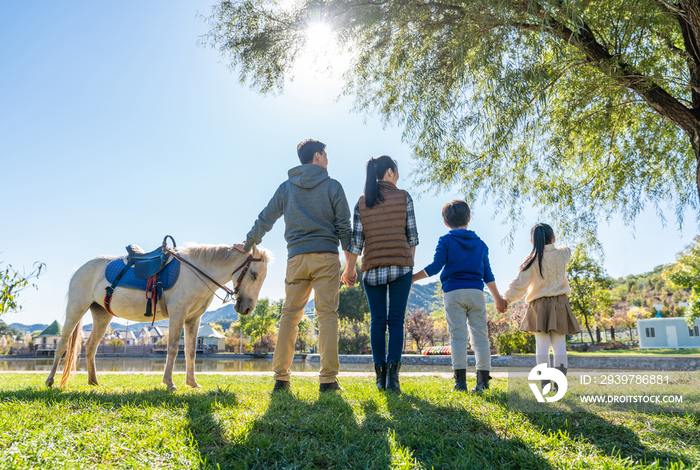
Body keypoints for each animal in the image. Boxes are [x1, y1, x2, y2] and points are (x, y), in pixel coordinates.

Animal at [45, 242, 270, 390]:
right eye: (254, 275)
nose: (247, 308)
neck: (197, 272)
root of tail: (80, 269)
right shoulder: (178, 315)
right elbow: (173, 349)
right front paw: (169, 382)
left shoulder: (193, 319)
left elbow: (191, 352)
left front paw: (192, 383)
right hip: (75, 309)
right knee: (62, 346)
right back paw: (50, 380)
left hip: (102, 315)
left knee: (91, 346)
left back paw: (93, 381)